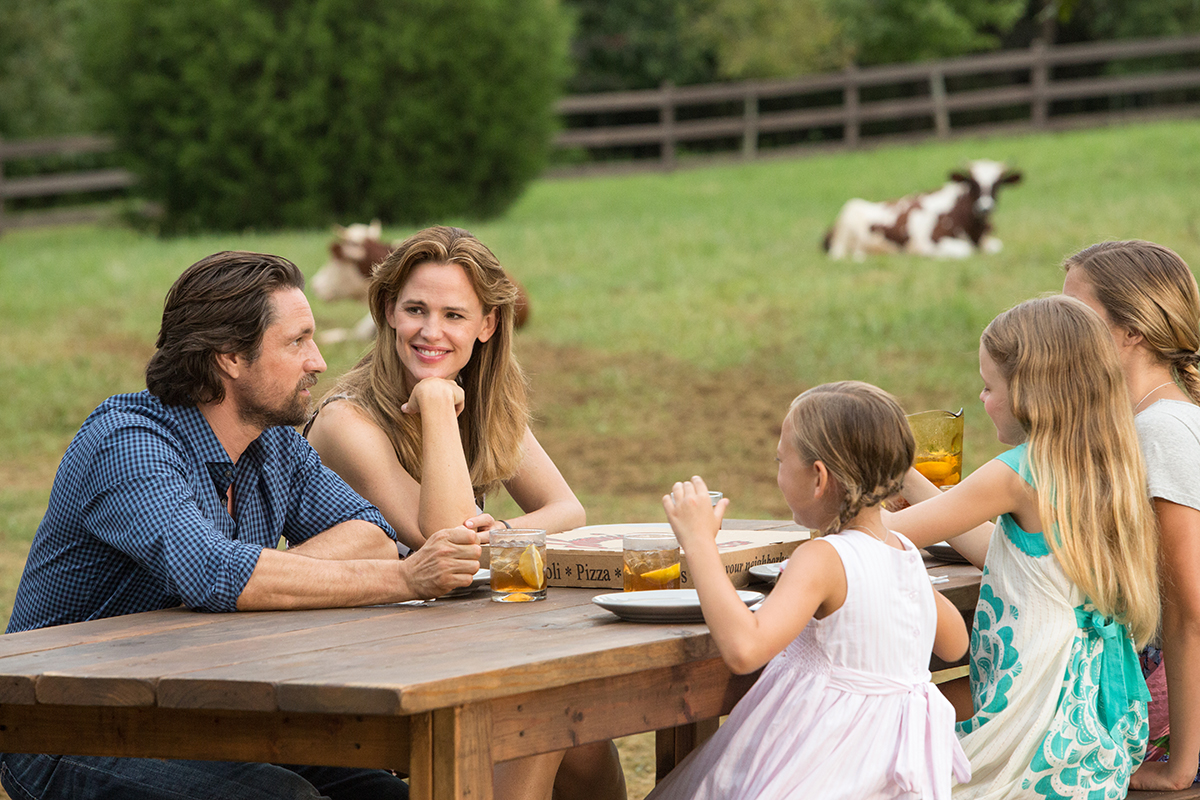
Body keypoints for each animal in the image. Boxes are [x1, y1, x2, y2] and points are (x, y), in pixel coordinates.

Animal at [825, 160, 1022, 261]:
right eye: (973, 183)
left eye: (998, 184)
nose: (985, 207)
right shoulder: (926, 242)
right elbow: (963, 251)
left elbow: (995, 247)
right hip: (843, 239)